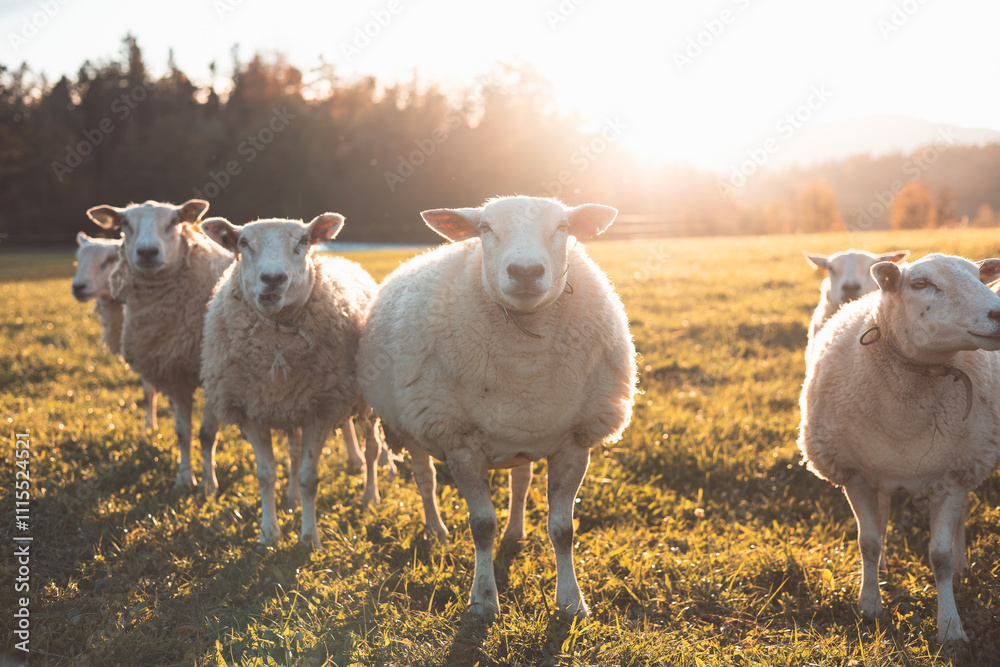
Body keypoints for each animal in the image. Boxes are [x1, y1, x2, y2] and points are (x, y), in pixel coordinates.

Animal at [87, 199, 233, 491]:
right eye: (124, 224)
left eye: (173, 222)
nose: (147, 252)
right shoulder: (173, 372)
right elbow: (182, 432)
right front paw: (184, 479)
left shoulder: (214, 376)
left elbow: (207, 434)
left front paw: (209, 486)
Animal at [200, 214, 381, 548]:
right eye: (243, 243)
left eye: (303, 241)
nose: (273, 279)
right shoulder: (250, 408)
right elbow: (266, 475)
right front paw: (269, 534)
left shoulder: (321, 409)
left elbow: (310, 478)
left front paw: (310, 538)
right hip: (303, 400)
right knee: (298, 451)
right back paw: (295, 497)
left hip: (362, 399)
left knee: (373, 446)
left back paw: (370, 496)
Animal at [357, 195, 637, 620]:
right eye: (485, 229)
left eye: (563, 227)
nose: (525, 271)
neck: (525, 348)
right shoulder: (460, 442)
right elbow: (481, 526)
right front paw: (484, 601)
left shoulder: (574, 442)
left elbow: (563, 530)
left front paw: (572, 602)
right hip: (414, 423)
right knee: (425, 480)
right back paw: (437, 531)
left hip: (523, 435)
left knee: (520, 482)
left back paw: (514, 533)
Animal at [797, 252, 1000, 643]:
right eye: (919, 284)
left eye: (979, 278)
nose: (998, 313)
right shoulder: (855, 474)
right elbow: (868, 541)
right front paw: (869, 605)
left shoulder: (953, 476)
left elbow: (940, 557)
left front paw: (950, 627)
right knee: (883, 516)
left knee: (961, 517)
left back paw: (962, 565)